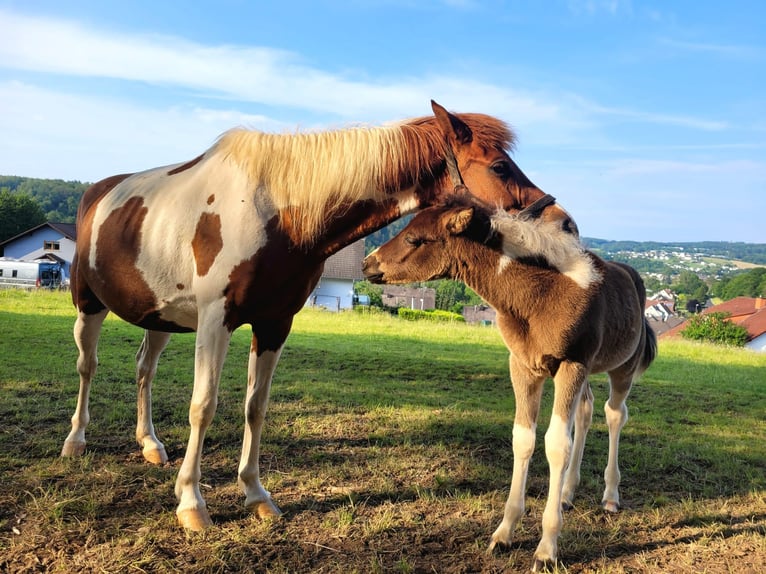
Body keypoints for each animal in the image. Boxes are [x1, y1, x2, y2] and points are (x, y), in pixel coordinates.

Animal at [61, 102, 576, 532]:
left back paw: (149, 444)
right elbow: (202, 407)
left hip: (159, 318)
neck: (276, 213)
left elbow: (256, 407)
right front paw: (192, 503)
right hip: (89, 304)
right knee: (87, 366)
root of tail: (98, 194)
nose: (565, 224)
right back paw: (76, 441)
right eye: (499, 165)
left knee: (143, 369)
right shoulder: (215, 321)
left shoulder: (275, 324)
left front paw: (256, 494)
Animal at [366, 201, 660, 572]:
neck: (539, 295)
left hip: (622, 366)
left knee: (614, 415)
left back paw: (609, 496)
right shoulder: (522, 366)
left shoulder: (572, 364)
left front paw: (546, 549)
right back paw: (567, 494)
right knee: (586, 411)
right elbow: (523, 439)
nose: (367, 264)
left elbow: (556, 445)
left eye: (414, 239)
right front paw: (504, 532)